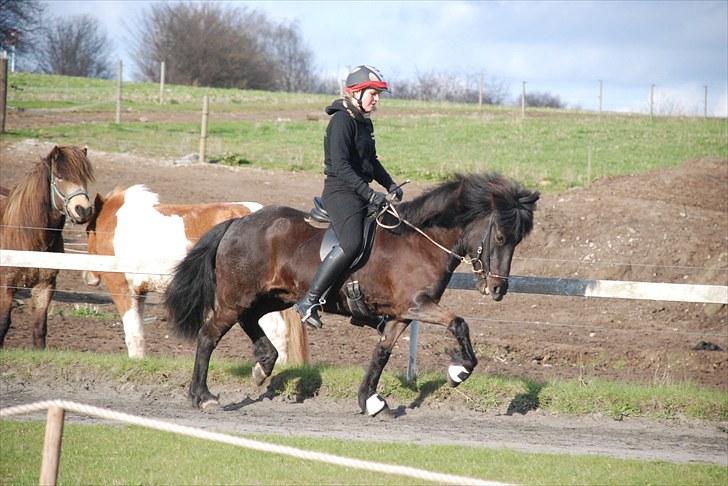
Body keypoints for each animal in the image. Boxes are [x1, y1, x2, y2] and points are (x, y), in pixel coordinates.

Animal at [0, 144, 95, 350]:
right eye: (59, 176)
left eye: (84, 177)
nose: (83, 210)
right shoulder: (6, 285)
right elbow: (3, 324)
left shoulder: (45, 286)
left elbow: (39, 328)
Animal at [84, 185, 308, 360]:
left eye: (88, 231)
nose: (88, 277)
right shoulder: (139, 292)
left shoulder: (122, 288)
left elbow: (133, 333)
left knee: (277, 331)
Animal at [166, 173, 540, 416]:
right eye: (501, 237)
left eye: (518, 240)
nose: (497, 290)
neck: (420, 241)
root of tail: (237, 222)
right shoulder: (418, 304)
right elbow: (459, 323)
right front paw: (458, 372)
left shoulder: (401, 314)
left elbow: (382, 353)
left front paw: (370, 401)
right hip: (237, 296)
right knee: (209, 335)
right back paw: (202, 396)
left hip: (273, 295)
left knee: (250, 319)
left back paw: (264, 363)